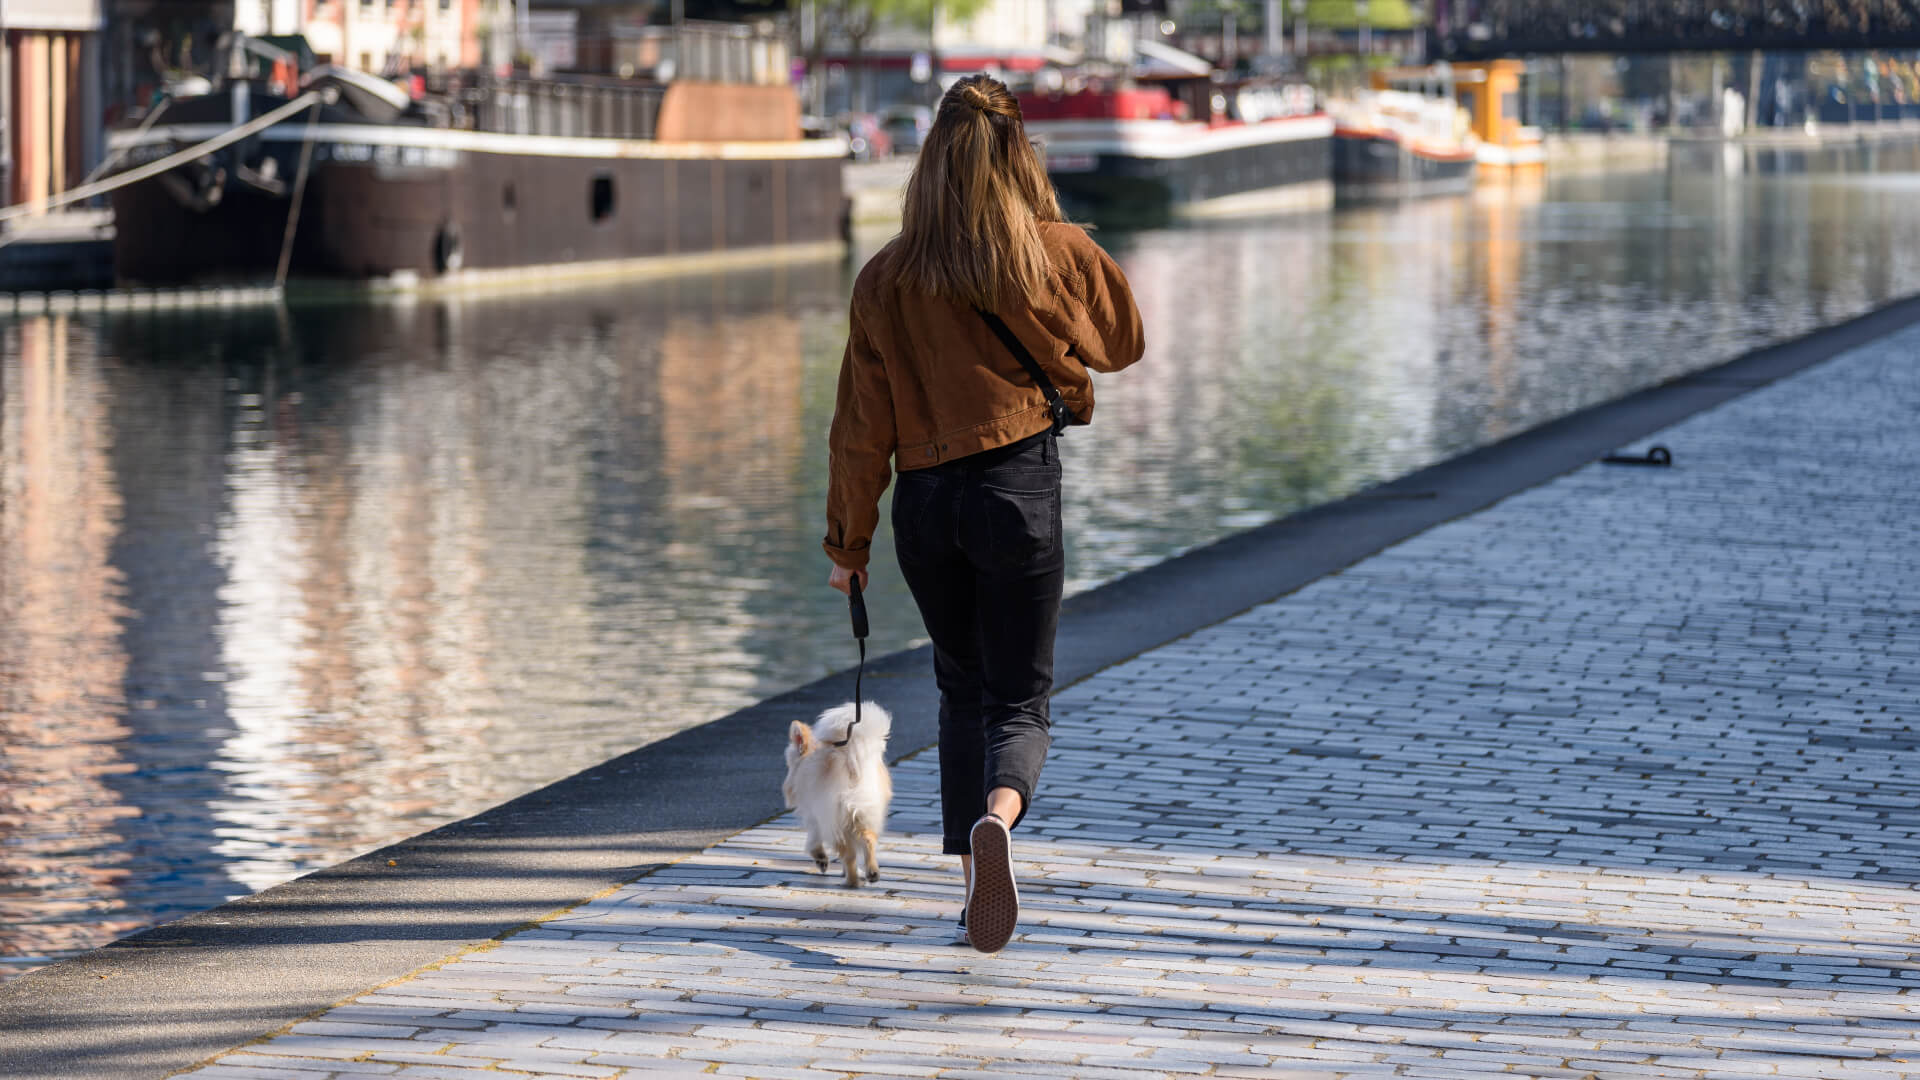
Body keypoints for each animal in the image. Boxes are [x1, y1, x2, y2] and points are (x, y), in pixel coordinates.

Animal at [779, 699, 890, 883]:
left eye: (789, 764)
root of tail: (850, 762)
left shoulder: (813, 814)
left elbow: (814, 838)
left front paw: (820, 858)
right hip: (865, 812)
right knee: (867, 839)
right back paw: (871, 873)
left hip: (835, 818)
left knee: (848, 853)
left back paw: (851, 881)